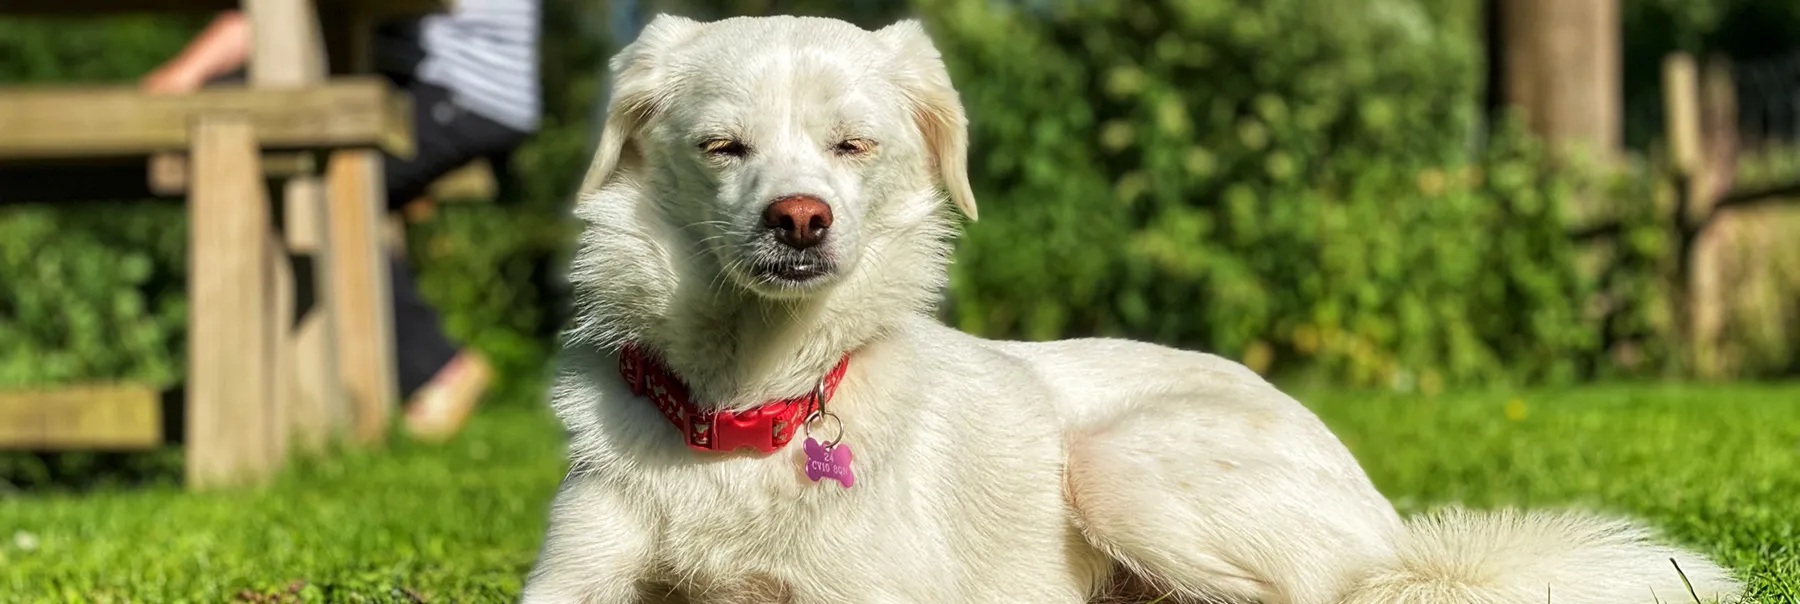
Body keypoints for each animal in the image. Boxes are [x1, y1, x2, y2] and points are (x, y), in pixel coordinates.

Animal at [525, 14, 1742, 604]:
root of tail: (1400, 535)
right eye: (721, 146)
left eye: (851, 146)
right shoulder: (573, 578)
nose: (801, 221)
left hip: (1115, 463)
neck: (744, 409)